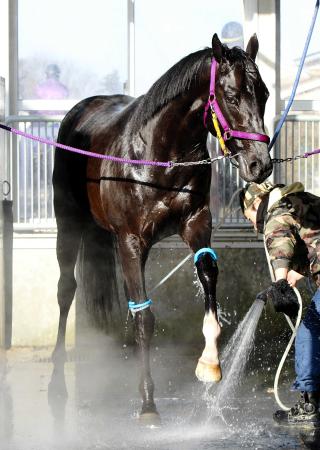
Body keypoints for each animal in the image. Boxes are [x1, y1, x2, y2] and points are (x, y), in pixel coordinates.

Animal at [52, 32, 272, 422]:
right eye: (231, 96)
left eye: (264, 94)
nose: (260, 165)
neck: (159, 155)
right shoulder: (131, 241)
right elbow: (145, 318)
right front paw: (148, 403)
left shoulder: (196, 224)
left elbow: (208, 276)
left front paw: (210, 364)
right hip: (69, 223)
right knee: (66, 291)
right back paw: (57, 385)